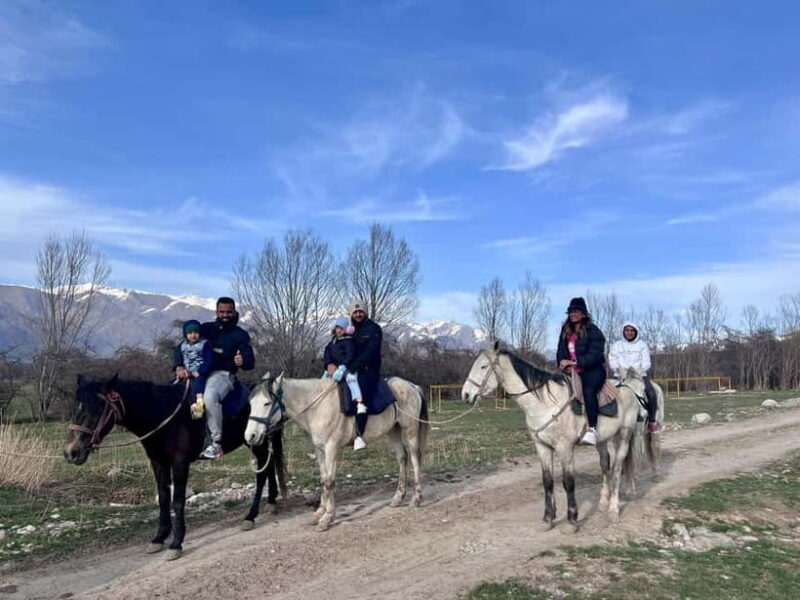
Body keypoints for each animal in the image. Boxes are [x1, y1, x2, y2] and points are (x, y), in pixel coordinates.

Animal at [63, 375, 287, 560]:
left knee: (262, 472)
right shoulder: (158, 463)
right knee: (269, 466)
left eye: (96, 409)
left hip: (256, 441)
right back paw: (271, 502)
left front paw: (176, 543)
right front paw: (159, 537)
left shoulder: (180, 463)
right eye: (75, 408)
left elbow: (178, 501)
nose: (71, 452)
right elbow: (163, 498)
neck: (160, 413)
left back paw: (251, 516)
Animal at [245, 373, 428, 531]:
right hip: (393, 431)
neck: (318, 407)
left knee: (414, 459)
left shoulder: (331, 448)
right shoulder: (319, 450)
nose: (250, 436)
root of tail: (411, 386)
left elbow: (329, 482)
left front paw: (327, 518)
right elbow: (323, 479)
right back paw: (398, 497)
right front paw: (319, 512)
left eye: (267, 403)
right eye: (251, 404)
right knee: (402, 458)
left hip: (410, 430)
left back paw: (416, 498)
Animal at [461, 343, 655, 529]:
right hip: (603, 440)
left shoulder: (565, 448)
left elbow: (568, 483)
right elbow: (547, 482)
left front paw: (572, 521)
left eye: (483, 366)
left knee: (616, 470)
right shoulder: (542, 447)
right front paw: (548, 519)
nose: (466, 394)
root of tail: (628, 390)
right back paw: (602, 503)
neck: (546, 403)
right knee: (605, 465)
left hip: (624, 436)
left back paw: (613, 511)